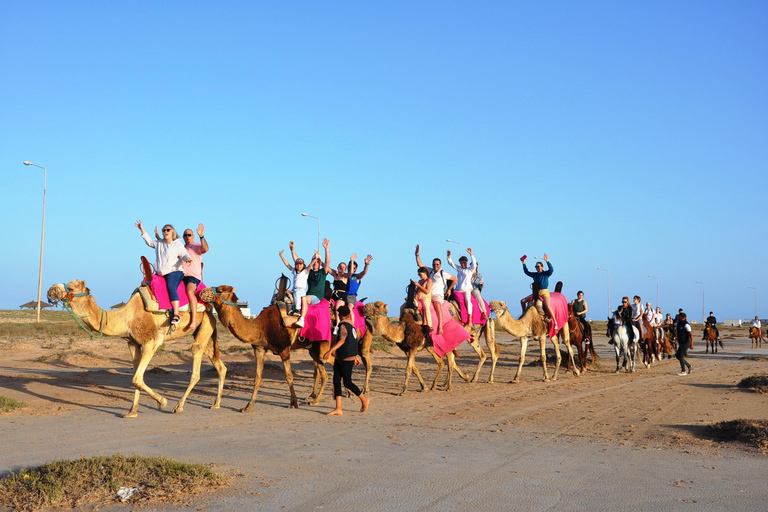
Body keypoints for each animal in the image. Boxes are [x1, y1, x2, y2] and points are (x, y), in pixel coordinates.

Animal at [47, 282, 224, 418]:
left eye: (71, 287)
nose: (51, 289)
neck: (126, 317)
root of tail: (209, 309)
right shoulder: (133, 344)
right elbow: (136, 377)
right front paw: (132, 412)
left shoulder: (151, 343)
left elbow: (137, 378)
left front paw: (162, 402)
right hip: (206, 331)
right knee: (220, 366)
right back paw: (215, 404)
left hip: (203, 328)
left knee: (196, 366)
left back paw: (178, 407)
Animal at [201, 286, 300, 414]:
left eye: (220, 290)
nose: (202, 292)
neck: (261, 327)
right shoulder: (259, 349)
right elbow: (257, 378)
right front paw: (248, 406)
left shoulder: (284, 349)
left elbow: (289, 376)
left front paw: (294, 403)